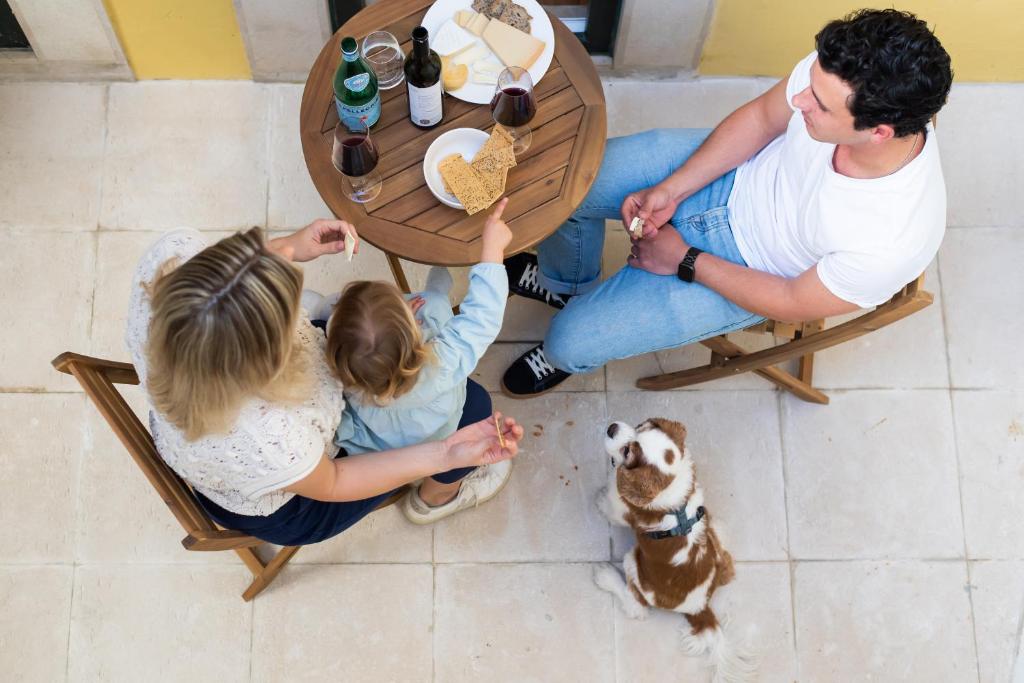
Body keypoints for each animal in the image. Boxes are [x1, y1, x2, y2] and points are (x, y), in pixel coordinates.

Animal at [593, 419, 753, 679]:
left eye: (628, 452)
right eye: (639, 426)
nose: (612, 427)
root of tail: (700, 608)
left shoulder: (623, 510)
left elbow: (611, 509)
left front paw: (600, 501)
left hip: (634, 565)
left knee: (636, 606)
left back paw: (606, 577)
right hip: (719, 553)